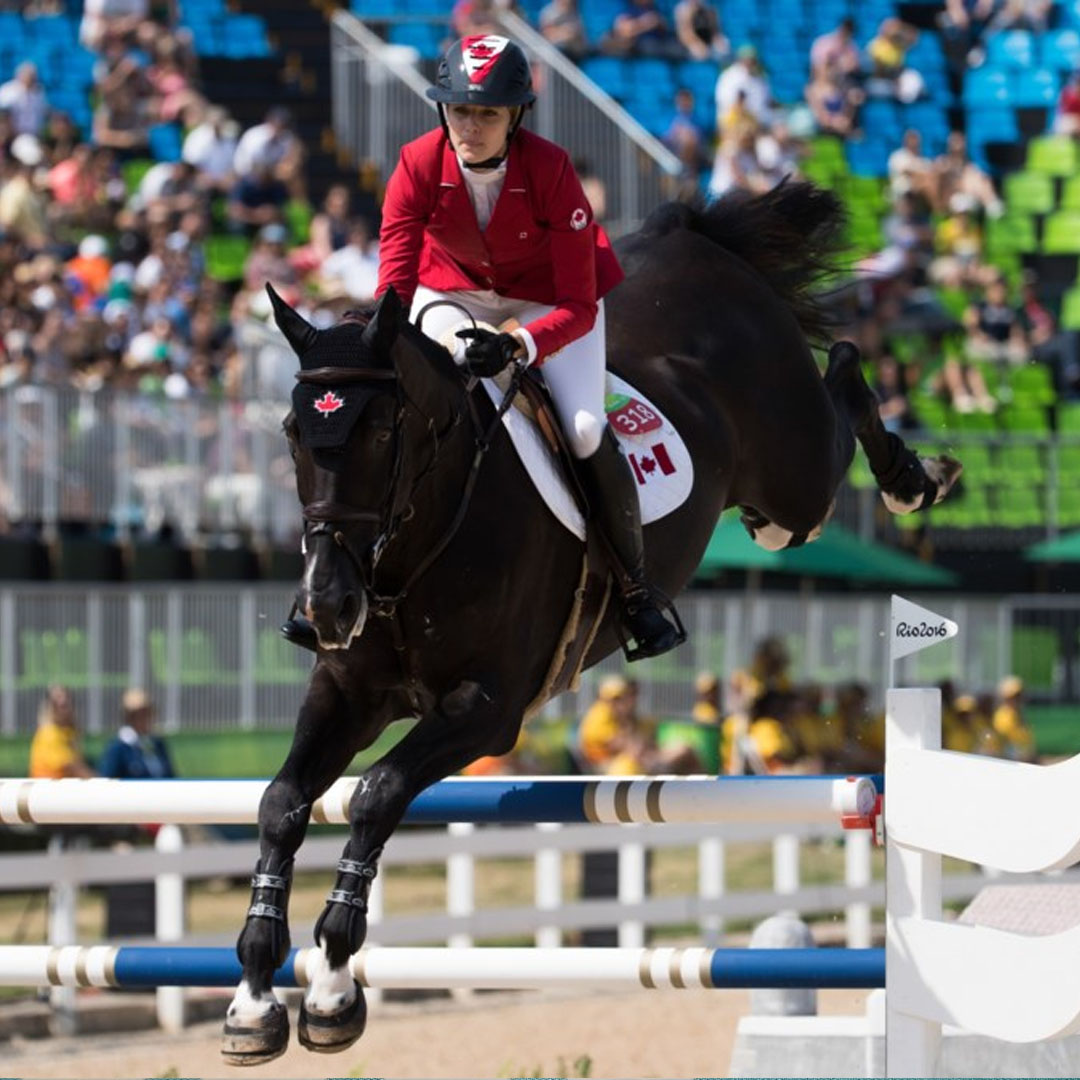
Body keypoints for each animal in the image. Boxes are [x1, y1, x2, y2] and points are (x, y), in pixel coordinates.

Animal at [221, 179, 963, 1062]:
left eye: (379, 429)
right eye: (294, 432)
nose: (328, 604)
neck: (413, 553)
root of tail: (695, 243)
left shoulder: (487, 711)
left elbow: (376, 793)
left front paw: (334, 985)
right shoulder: (346, 693)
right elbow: (281, 802)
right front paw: (253, 997)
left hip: (796, 486)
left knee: (843, 371)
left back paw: (915, 477)